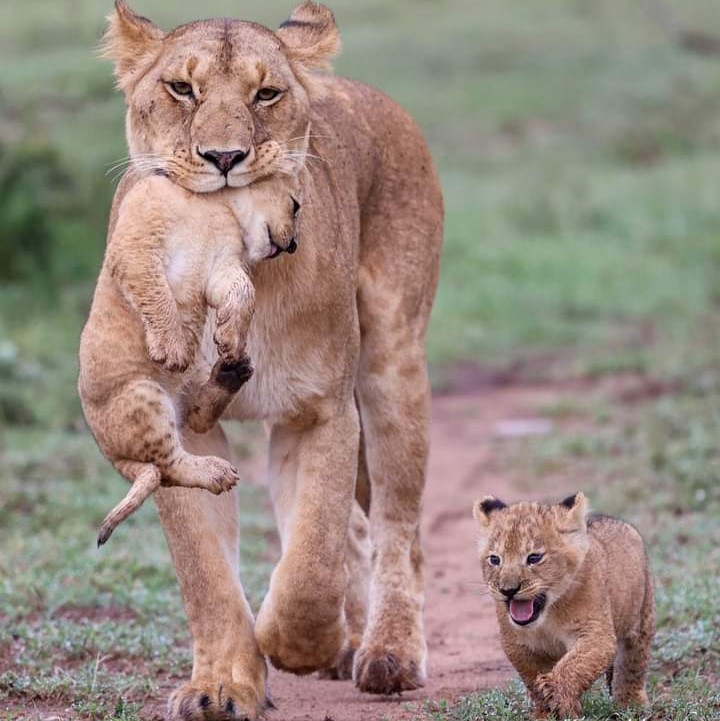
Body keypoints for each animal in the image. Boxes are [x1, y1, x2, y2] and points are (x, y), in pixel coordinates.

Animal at [79, 172, 300, 547]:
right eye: (296, 206)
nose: (295, 246)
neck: (216, 207)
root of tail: (108, 451)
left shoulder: (221, 267)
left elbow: (244, 291)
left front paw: (230, 337)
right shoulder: (137, 244)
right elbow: (156, 293)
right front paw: (172, 347)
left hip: (193, 378)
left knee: (195, 422)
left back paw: (231, 371)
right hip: (144, 396)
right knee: (168, 466)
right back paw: (216, 472)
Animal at [473, 493, 655, 719]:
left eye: (534, 557)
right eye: (495, 559)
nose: (508, 590)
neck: (547, 615)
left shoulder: (596, 634)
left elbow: (575, 665)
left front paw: (556, 694)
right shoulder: (516, 644)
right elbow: (532, 677)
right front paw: (546, 711)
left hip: (641, 618)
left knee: (632, 664)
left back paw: (631, 705)